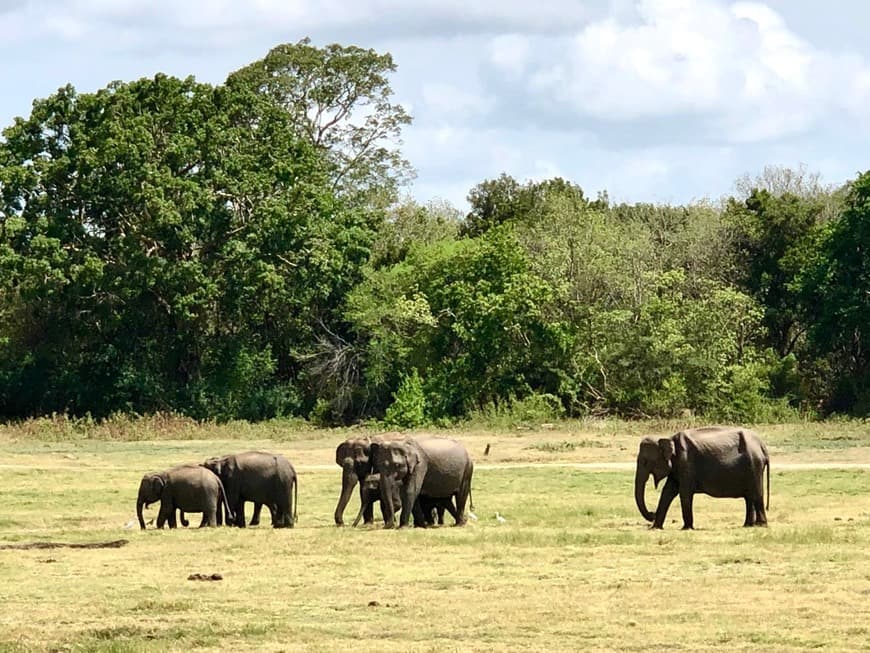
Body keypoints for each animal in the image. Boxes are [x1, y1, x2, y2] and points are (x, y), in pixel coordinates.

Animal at [636, 426, 772, 528]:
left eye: (645, 462)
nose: (652, 513)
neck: (668, 438)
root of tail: (762, 446)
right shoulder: (678, 468)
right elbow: (668, 492)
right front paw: (655, 528)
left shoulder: (686, 463)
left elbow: (684, 493)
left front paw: (686, 528)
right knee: (749, 496)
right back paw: (748, 525)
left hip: (754, 465)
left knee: (756, 493)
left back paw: (761, 525)